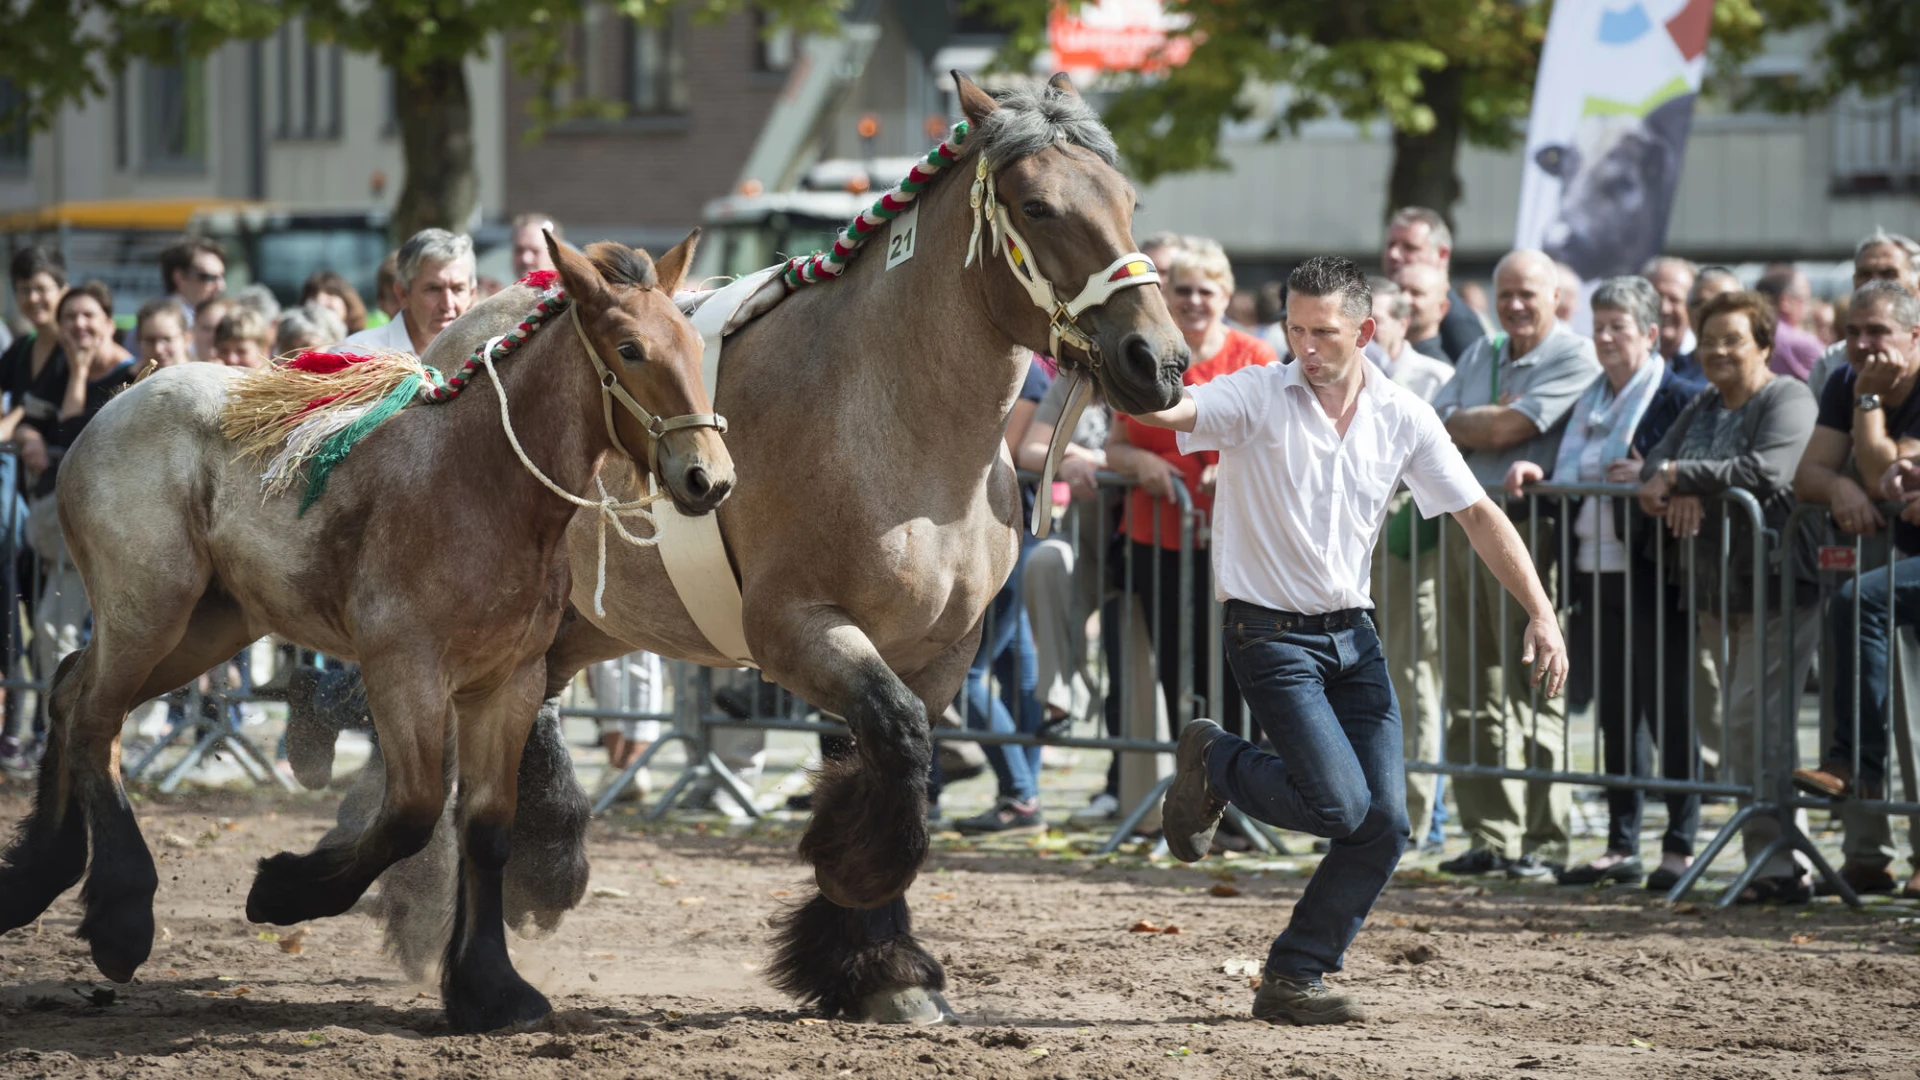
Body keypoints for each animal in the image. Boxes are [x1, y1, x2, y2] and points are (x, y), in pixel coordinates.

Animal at [0, 233, 733, 1022]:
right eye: (629, 349)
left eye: (695, 343)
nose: (709, 478)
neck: (481, 484)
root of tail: (120, 400)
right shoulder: (403, 670)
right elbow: (412, 812)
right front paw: (282, 891)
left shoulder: (508, 682)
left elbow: (486, 830)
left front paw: (489, 986)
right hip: (148, 610)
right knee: (95, 721)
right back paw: (121, 919)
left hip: (206, 626)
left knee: (68, 691)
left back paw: (37, 876)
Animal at [343, 71, 1182, 1022]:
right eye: (1037, 205)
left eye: (1127, 200)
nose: (1158, 361)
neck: (893, 418)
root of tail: (449, 342)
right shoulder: (795, 629)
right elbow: (897, 746)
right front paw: (859, 894)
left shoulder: (939, 652)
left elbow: (901, 764)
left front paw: (877, 962)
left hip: (575, 625)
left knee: (528, 716)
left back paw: (535, 863)